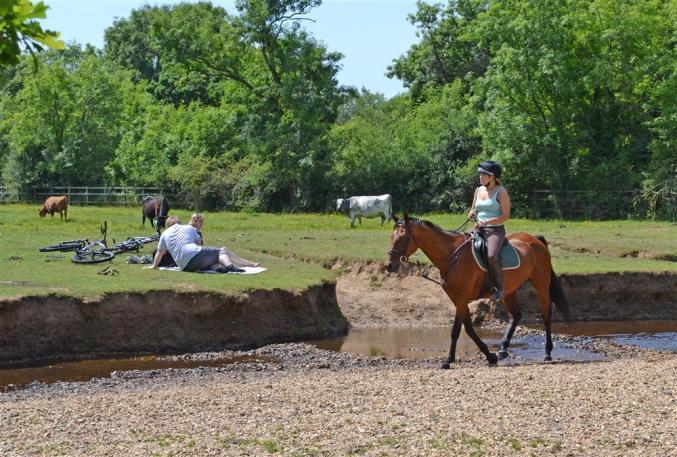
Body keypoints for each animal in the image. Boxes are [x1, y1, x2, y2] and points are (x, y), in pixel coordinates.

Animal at [382, 213, 568, 366]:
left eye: (403, 237)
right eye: (392, 236)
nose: (390, 265)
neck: (452, 256)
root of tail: (534, 239)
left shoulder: (461, 297)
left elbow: (457, 330)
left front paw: (449, 360)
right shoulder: (457, 299)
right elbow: (468, 329)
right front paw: (489, 356)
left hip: (541, 283)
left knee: (546, 314)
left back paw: (547, 353)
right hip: (508, 290)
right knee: (516, 315)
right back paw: (502, 349)